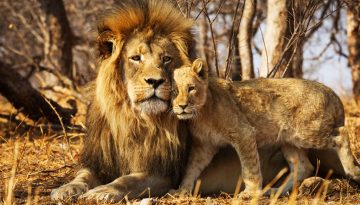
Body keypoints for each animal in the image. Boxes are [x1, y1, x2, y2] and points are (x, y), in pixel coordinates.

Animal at [50, 0, 194, 202]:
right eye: (136, 58)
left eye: (166, 59)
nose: (155, 81)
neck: (135, 120)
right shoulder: (99, 162)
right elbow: (82, 176)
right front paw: (66, 189)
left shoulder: (164, 173)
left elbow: (129, 180)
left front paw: (103, 191)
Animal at [171, 58, 360, 197]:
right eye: (174, 91)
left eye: (191, 88)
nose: (182, 106)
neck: (200, 115)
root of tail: (332, 92)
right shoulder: (204, 145)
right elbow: (191, 169)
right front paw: (181, 191)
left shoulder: (243, 133)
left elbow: (249, 167)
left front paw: (250, 193)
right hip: (289, 140)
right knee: (304, 167)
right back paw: (275, 191)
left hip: (306, 131)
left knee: (342, 134)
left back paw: (353, 170)